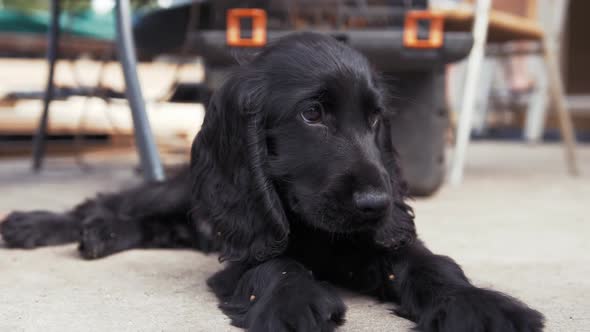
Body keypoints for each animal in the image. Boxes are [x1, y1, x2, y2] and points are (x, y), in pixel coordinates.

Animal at [1, 32, 544, 330]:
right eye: (312, 114)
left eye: (375, 119)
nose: (377, 202)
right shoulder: (247, 238)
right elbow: (275, 263)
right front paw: (296, 303)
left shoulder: (379, 239)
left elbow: (428, 262)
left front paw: (479, 304)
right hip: (182, 192)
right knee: (111, 202)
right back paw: (39, 224)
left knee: (151, 224)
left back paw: (101, 233)